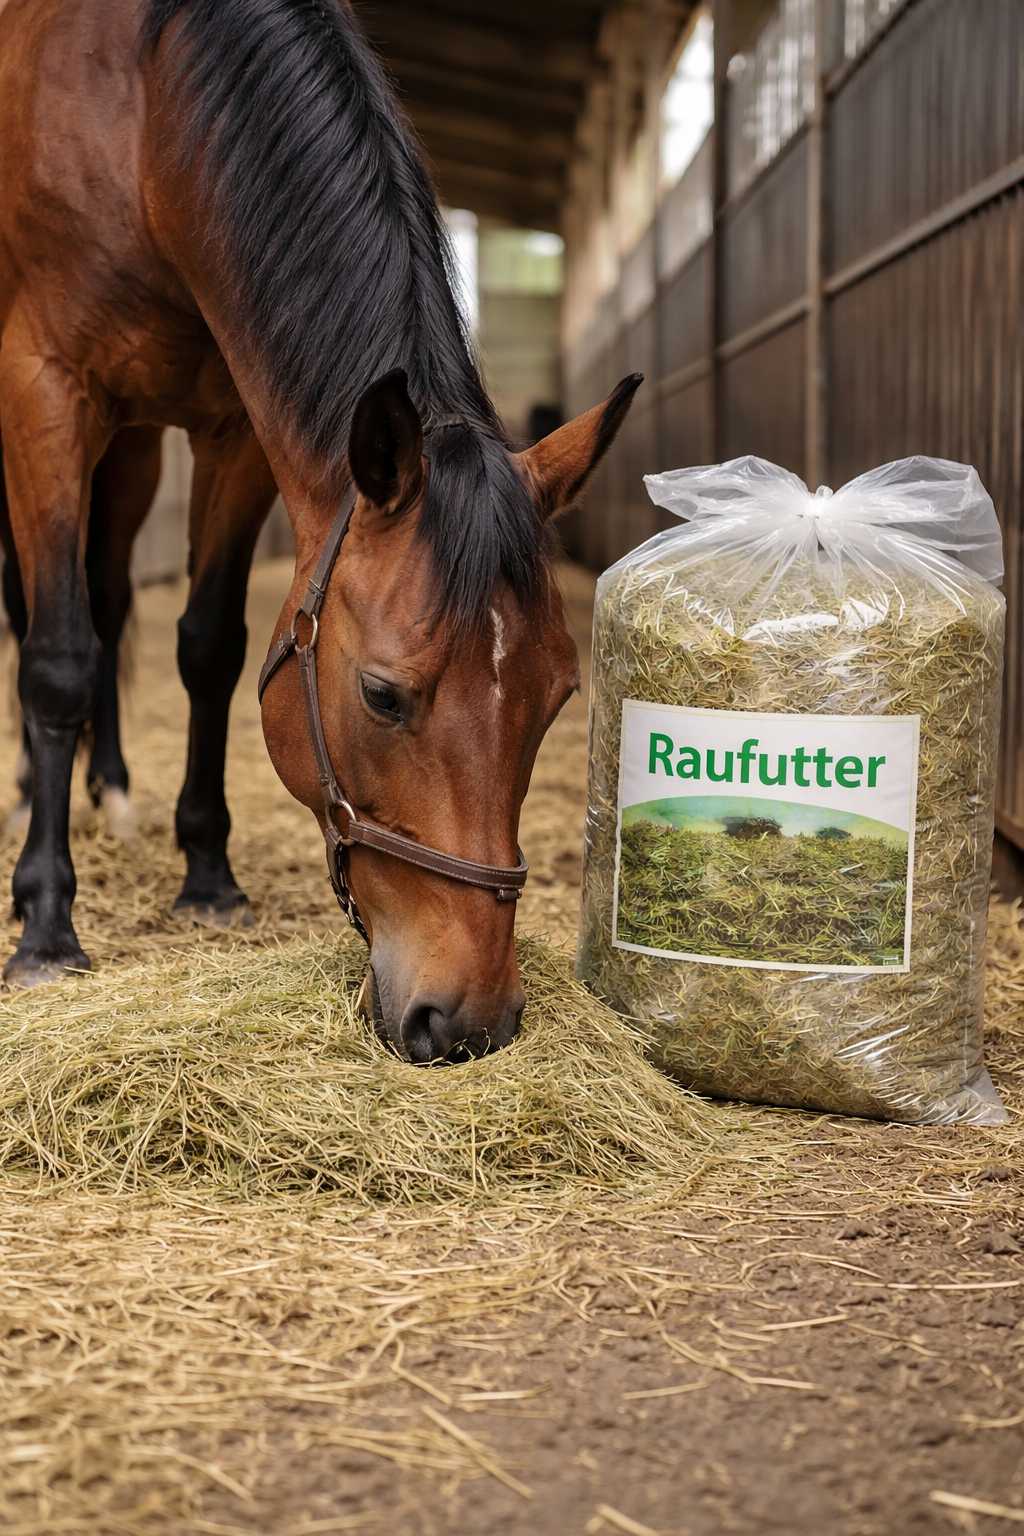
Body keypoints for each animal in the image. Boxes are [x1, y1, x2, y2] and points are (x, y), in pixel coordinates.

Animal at [0, 0, 639, 1061]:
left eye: (557, 696)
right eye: (382, 695)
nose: (470, 1021)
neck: (142, 111)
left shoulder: (234, 431)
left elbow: (208, 647)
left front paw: (208, 874)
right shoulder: (45, 388)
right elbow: (55, 659)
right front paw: (47, 922)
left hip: (132, 449)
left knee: (112, 593)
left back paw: (112, 788)